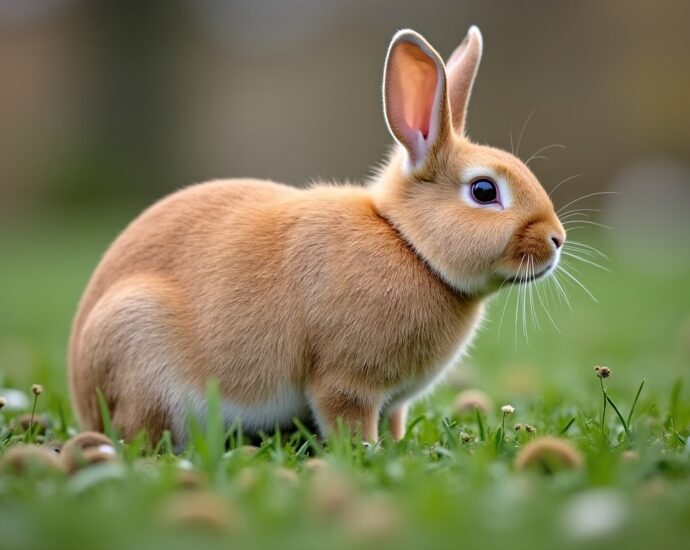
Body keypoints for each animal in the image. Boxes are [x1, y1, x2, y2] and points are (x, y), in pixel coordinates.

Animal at [69, 26, 565, 447]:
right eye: (484, 191)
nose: (557, 240)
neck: (408, 243)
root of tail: (82, 388)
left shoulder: (392, 401)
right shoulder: (346, 382)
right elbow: (347, 417)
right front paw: (365, 452)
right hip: (138, 338)